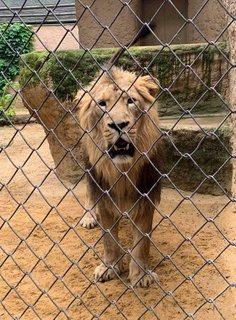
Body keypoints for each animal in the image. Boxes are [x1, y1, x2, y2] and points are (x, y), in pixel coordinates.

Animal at [75, 25, 162, 288]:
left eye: (131, 101)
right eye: (102, 104)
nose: (118, 125)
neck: (122, 170)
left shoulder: (146, 197)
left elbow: (142, 242)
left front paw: (141, 274)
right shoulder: (103, 195)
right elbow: (109, 240)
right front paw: (110, 266)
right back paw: (88, 216)